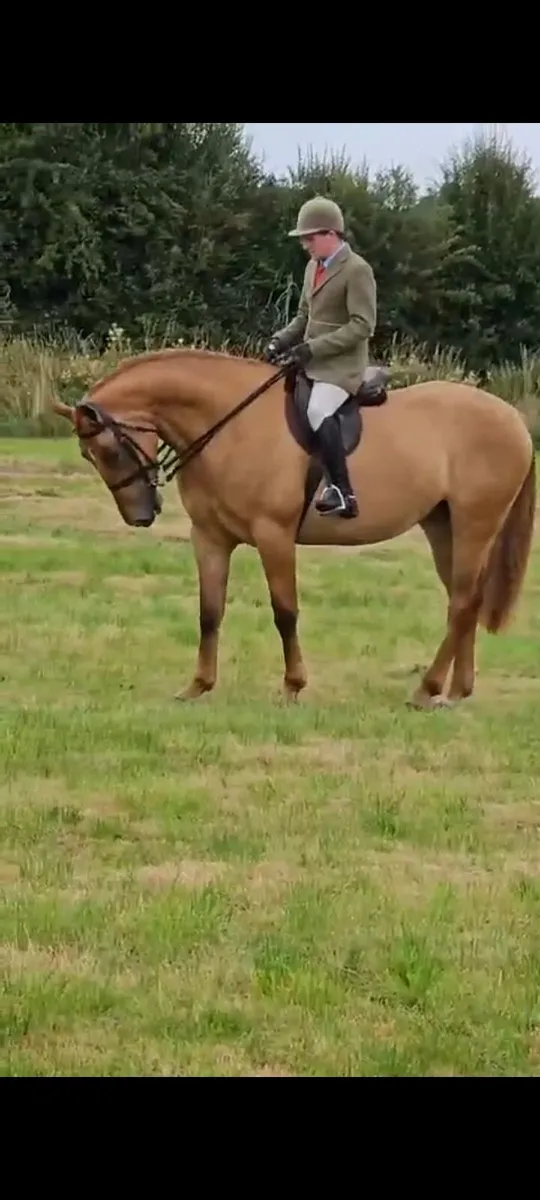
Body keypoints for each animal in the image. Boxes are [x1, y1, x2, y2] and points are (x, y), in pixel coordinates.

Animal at [52, 346, 537, 709]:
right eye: (88, 456)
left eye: (106, 452)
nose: (140, 516)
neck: (230, 425)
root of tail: (512, 418)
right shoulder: (209, 537)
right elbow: (210, 611)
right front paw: (198, 686)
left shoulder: (274, 536)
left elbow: (285, 611)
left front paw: (292, 685)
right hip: (442, 526)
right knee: (464, 600)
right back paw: (456, 691)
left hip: (475, 524)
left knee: (463, 602)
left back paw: (428, 689)